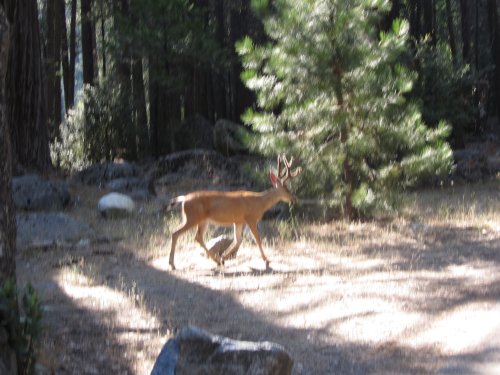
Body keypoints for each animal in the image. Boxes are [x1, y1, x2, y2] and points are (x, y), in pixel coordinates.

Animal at [167, 155, 300, 270]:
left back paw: (217, 261)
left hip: (202, 220)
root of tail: (184, 198)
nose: (294, 199)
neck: (260, 203)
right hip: (192, 217)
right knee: (175, 233)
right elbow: (257, 238)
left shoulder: (239, 221)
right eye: (287, 189)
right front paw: (266, 260)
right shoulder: (250, 218)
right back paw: (172, 264)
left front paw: (224, 257)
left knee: (197, 237)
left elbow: (238, 240)